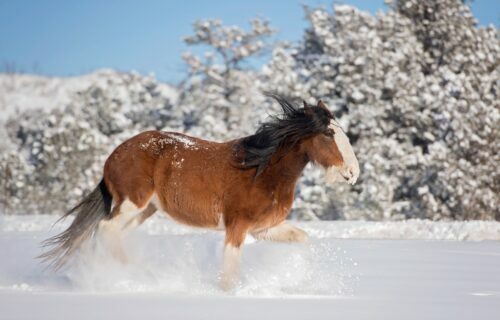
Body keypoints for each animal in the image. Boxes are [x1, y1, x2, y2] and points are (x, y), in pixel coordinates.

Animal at [40, 94, 360, 290]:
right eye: (328, 134)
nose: (353, 172)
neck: (261, 169)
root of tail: (114, 156)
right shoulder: (237, 227)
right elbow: (229, 273)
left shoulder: (264, 228)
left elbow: (303, 240)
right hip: (132, 203)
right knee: (106, 229)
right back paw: (138, 276)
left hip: (143, 211)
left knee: (109, 235)